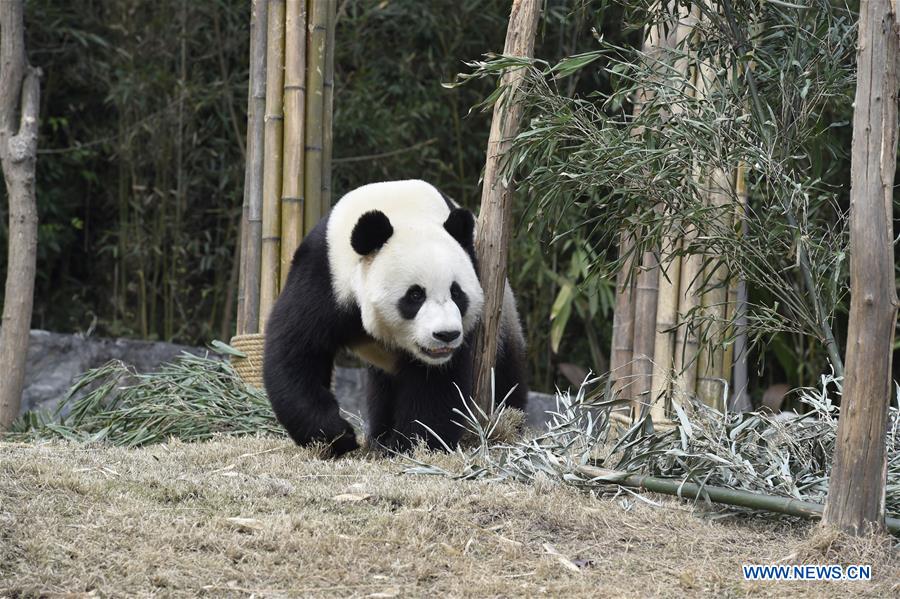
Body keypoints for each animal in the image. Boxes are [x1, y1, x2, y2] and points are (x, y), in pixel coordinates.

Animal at [260, 180, 528, 458]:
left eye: (457, 292)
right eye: (415, 295)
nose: (446, 335)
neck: (403, 211)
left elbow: (436, 384)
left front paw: (411, 444)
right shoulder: (324, 276)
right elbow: (297, 352)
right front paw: (338, 437)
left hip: (504, 317)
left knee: (506, 374)